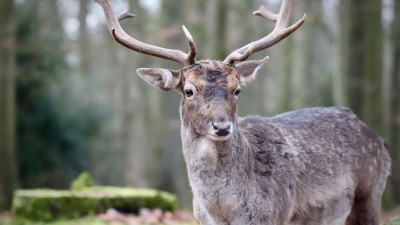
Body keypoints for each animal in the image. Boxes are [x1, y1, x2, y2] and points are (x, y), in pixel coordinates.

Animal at [96, 0, 390, 224]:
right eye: (189, 90)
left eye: (237, 89)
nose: (222, 127)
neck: (224, 211)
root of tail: (379, 140)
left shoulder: (275, 216)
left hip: (370, 194)